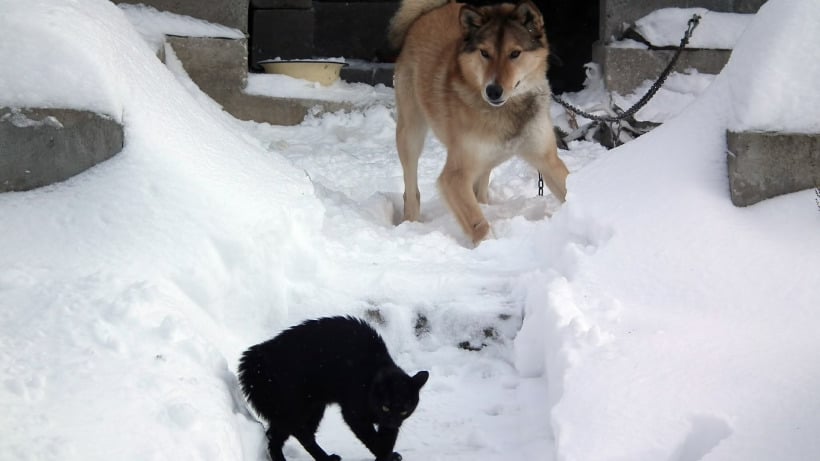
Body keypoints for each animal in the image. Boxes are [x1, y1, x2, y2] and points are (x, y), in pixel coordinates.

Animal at [237, 314, 430, 460]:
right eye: (386, 407)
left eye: (404, 410)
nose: (392, 422)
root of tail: (258, 356)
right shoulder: (354, 414)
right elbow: (372, 440)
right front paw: (385, 456)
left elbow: (387, 440)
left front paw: (387, 453)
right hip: (294, 408)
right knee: (295, 436)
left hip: (310, 408)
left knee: (281, 437)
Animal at [388, 0, 568, 244]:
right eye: (485, 53)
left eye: (515, 53)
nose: (493, 91)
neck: (507, 111)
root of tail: (431, 10)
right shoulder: (454, 176)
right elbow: (477, 223)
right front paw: (490, 246)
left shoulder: (547, 159)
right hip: (411, 132)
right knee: (411, 185)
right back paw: (411, 222)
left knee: (481, 184)